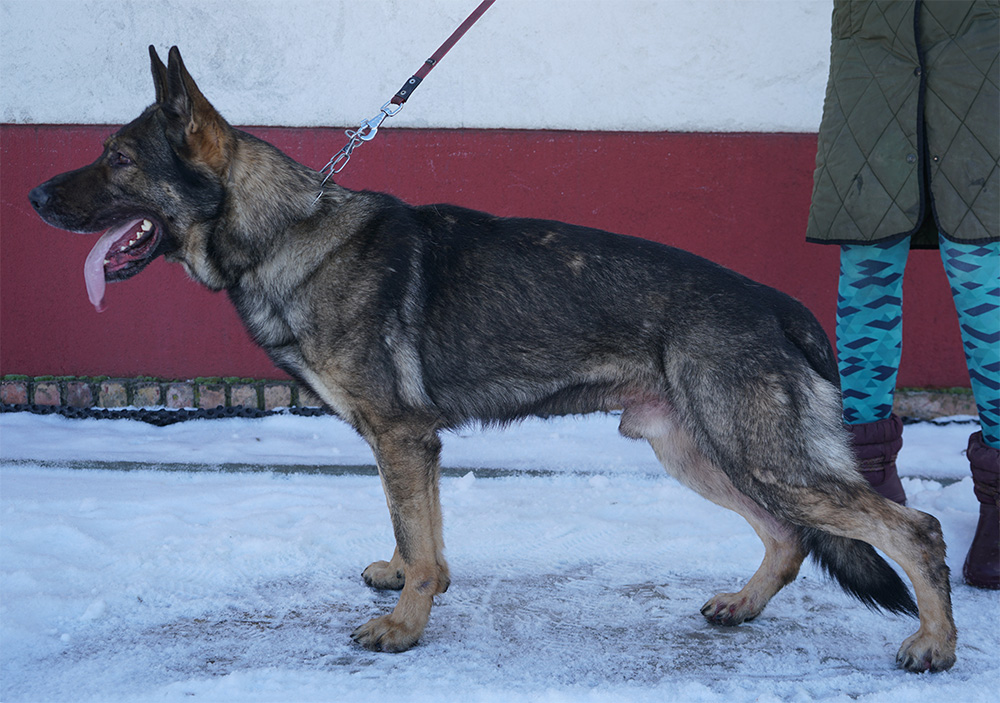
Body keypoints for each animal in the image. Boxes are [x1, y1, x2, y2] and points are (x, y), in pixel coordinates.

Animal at [29, 46, 956, 672]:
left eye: (117, 158)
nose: (33, 195)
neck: (283, 231)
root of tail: (778, 303)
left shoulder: (401, 436)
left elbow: (418, 533)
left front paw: (404, 628)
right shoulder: (409, 444)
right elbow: (422, 537)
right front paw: (414, 584)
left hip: (755, 452)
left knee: (913, 527)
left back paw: (935, 642)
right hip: (695, 448)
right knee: (790, 535)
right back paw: (745, 603)